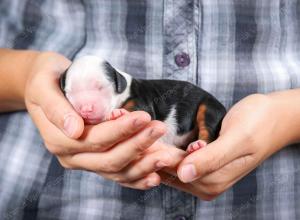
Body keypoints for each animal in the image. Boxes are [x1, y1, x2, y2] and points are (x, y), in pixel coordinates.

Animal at [59, 55, 226, 151]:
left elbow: (138, 110)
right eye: (69, 92)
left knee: (207, 130)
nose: (86, 109)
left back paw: (198, 145)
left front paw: (117, 113)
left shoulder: (142, 102)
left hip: (209, 108)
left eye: (101, 87)